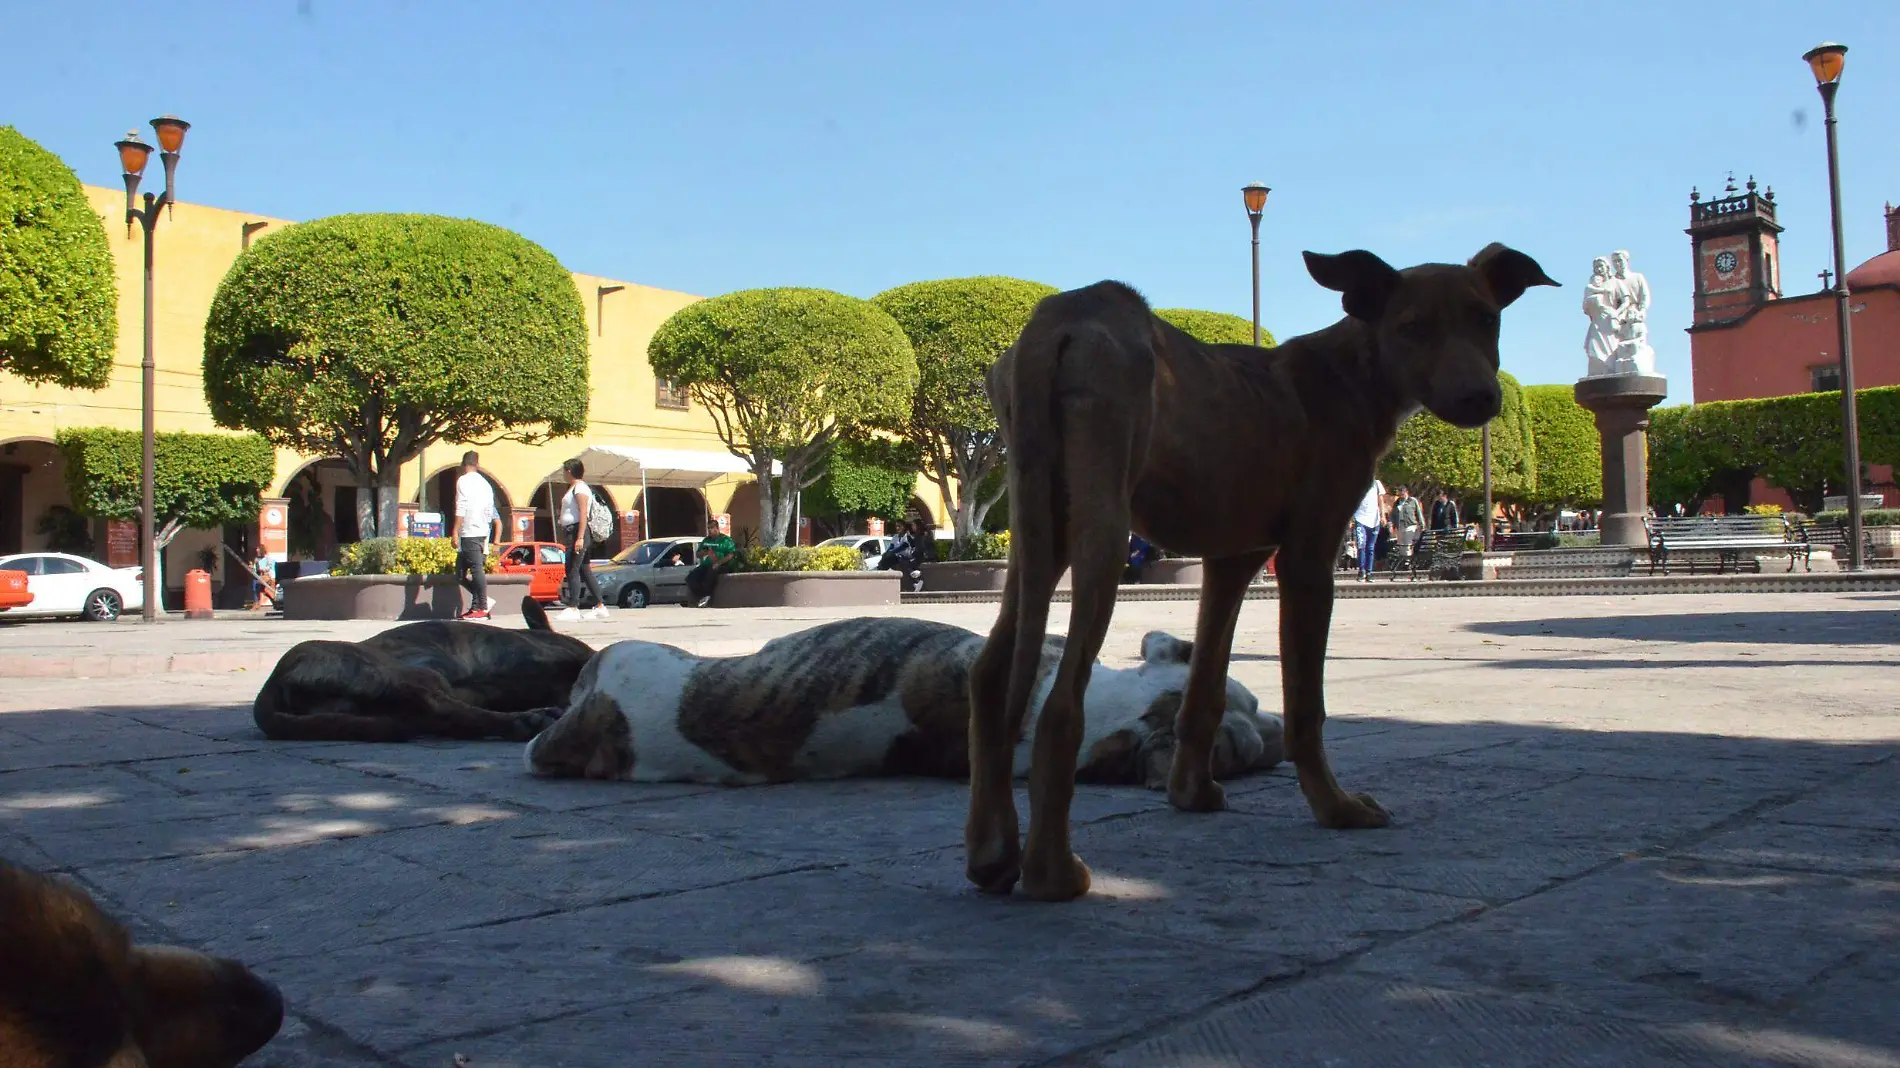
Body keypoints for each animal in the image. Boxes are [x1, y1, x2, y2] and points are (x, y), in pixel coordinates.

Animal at [965, 243, 1558, 896]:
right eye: (1412, 328)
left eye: (1486, 318)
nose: (1482, 399)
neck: (1353, 372)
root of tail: (1061, 318)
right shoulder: (1307, 558)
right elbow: (1306, 707)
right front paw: (1334, 807)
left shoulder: (1232, 561)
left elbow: (1203, 691)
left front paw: (1191, 792)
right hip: (1101, 527)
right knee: (1059, 704)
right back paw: (1052, 873)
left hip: (1037, 528)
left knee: (991, 674)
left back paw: (992, 852)